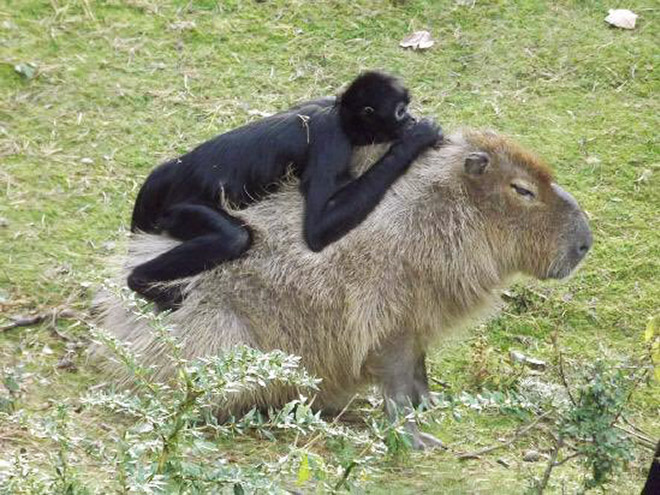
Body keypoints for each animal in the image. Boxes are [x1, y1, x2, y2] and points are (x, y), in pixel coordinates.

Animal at [127, 71, 444, 308]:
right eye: (401, 111)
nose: (411, 118)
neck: (338, 115)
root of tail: (174, 171)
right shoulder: (332, 142)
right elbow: (316, 231)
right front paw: (417, 139)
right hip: (179, 208)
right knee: (234, 237)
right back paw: (139, 280)